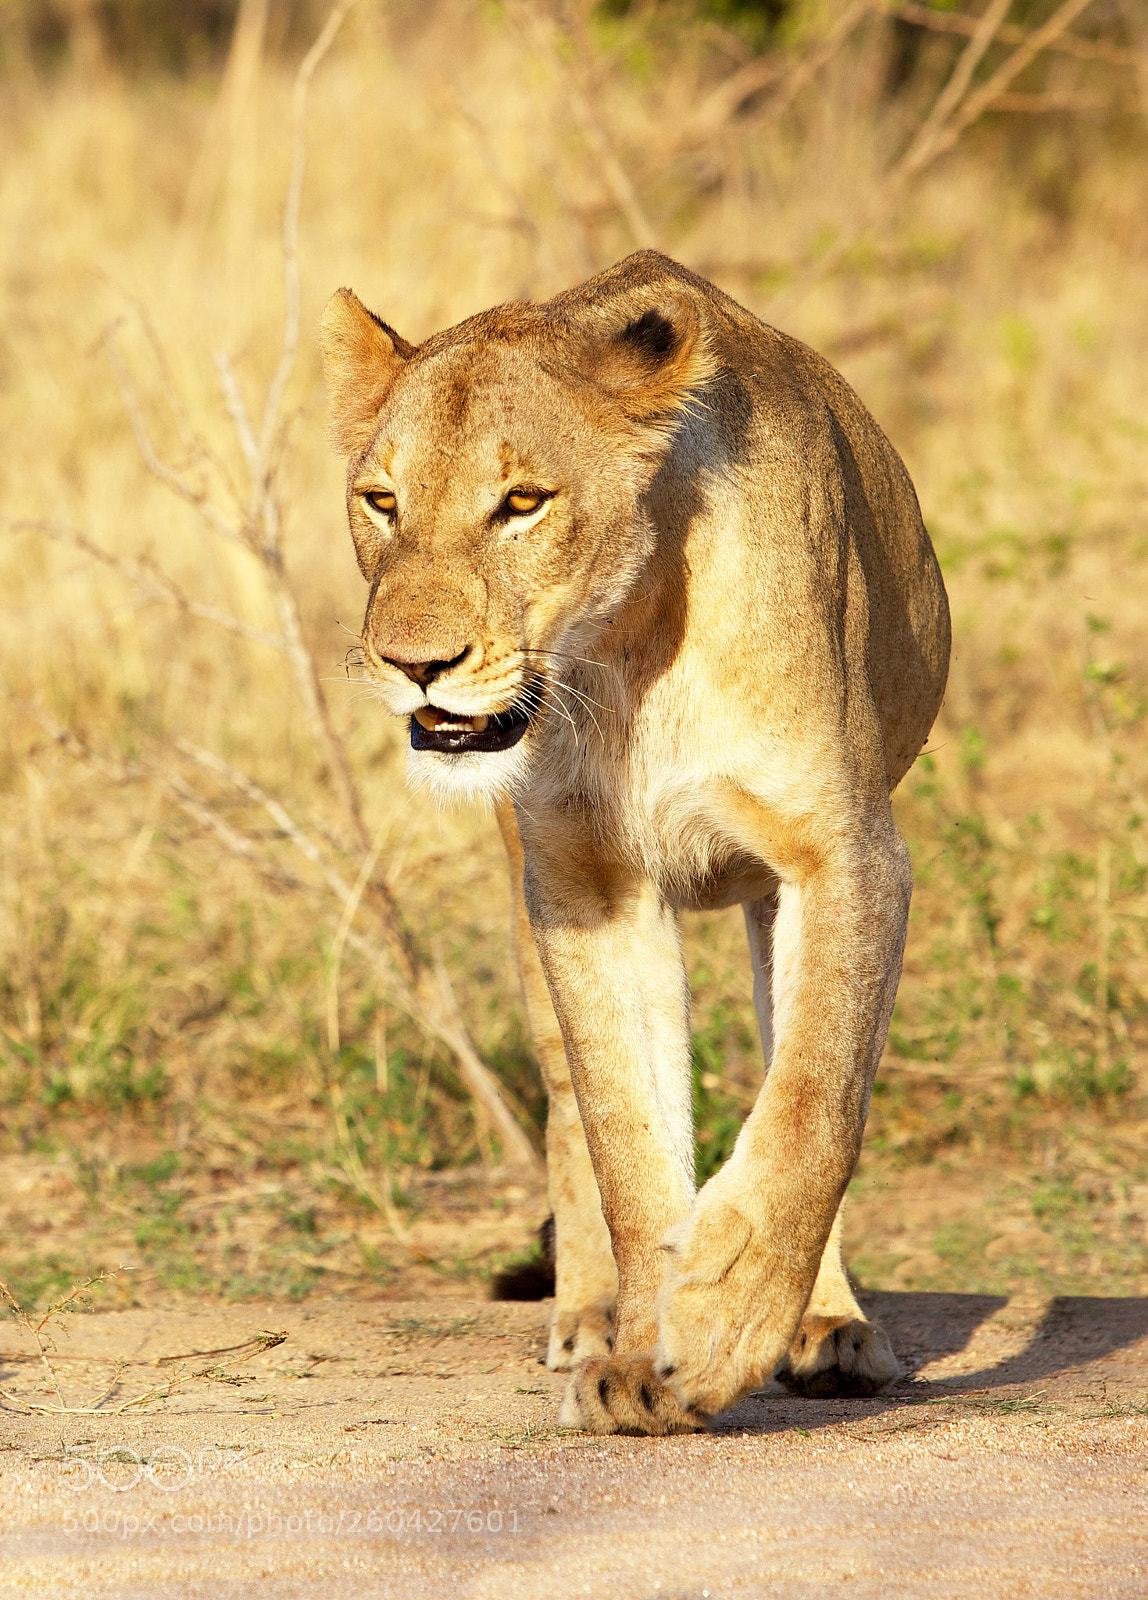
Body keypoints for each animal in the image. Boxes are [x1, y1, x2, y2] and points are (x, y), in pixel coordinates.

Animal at [320, 250, 950, 1435]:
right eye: (381, 501)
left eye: (522, 503)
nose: (414, 665)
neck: (625, 647)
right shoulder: (586, 884)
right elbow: (623, 1135)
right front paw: (645, 1357)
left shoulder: (843, 851)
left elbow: (815, 1098)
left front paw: (728, 1318)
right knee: (569, 1108)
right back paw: (586, 1318)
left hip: (770, 898)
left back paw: (828, 1324)